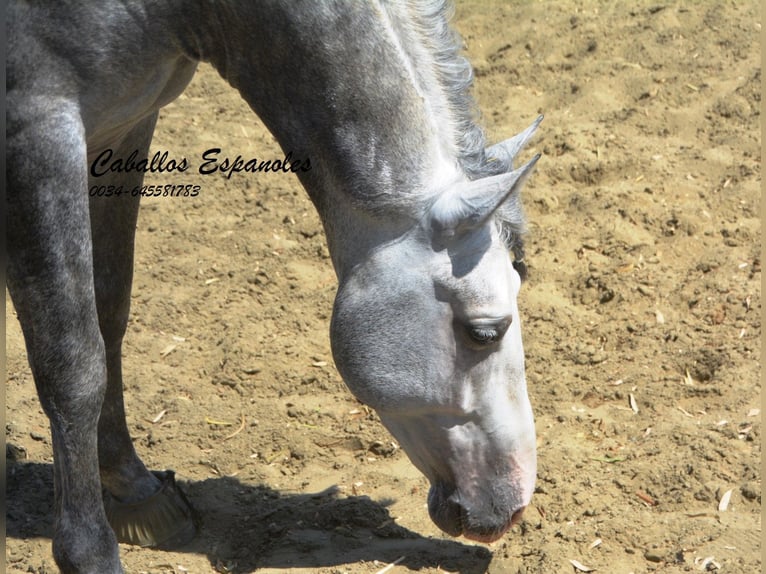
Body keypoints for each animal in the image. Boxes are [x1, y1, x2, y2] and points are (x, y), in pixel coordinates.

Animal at [9, 2, 544, 572]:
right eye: (483, 332)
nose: (513, 505)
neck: (176, 14)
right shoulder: (40, 135)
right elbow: (73, 366)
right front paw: (90, 551)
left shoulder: (124, 127)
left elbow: (109, 311)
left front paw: (135, 489)